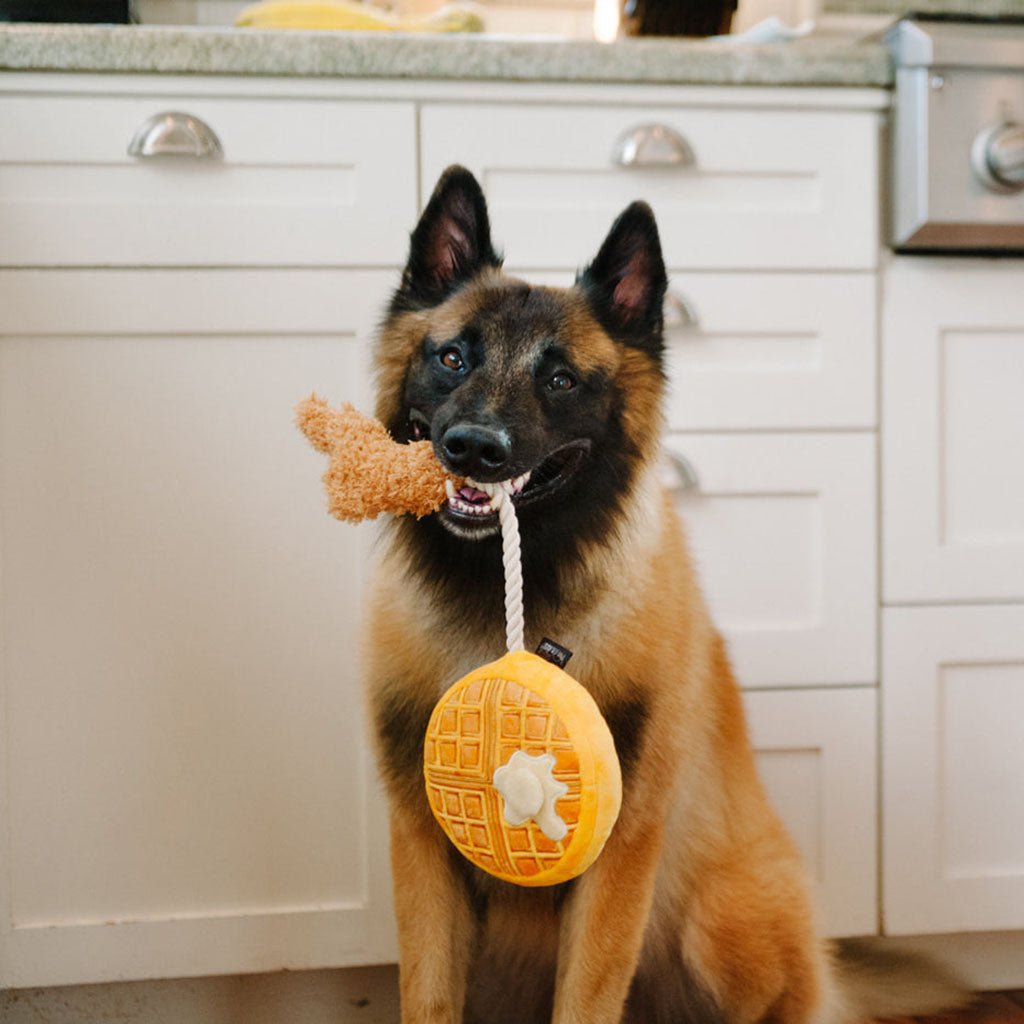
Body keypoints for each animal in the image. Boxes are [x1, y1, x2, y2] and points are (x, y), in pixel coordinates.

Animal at [364, 165, 962, 1024]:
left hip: (719, 922)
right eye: (451, 358)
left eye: (559, 380)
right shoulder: (421, 847)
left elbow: (587, 996)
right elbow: (428, 995)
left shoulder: (622, 849)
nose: (474, 449)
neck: (512, 589)